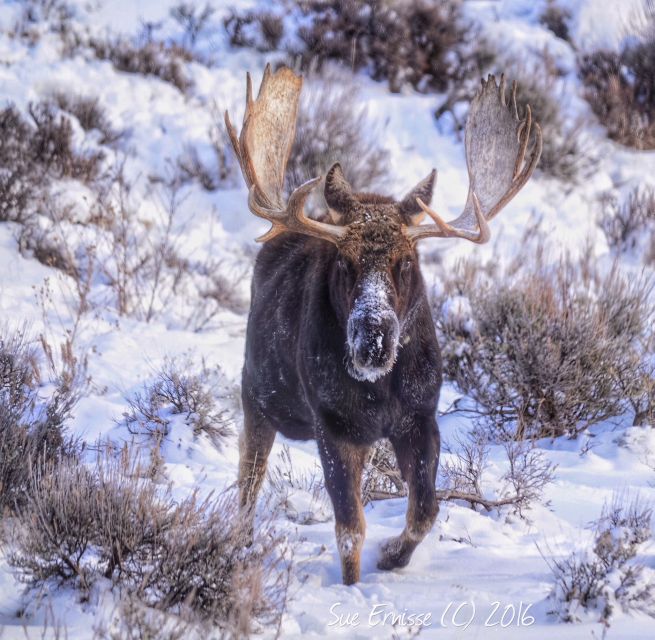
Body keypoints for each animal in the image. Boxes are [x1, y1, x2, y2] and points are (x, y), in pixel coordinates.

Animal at [226, 65, 544, 584]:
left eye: (407, 261)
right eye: (344, 261)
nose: (372, 339)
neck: (380, 390)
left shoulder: (420, 417)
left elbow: (424, 511)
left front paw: (392, 555)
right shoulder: (332, 426)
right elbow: (349, 529)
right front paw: (355, 583)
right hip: (257, 396)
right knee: (248, 482)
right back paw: (238, 544)